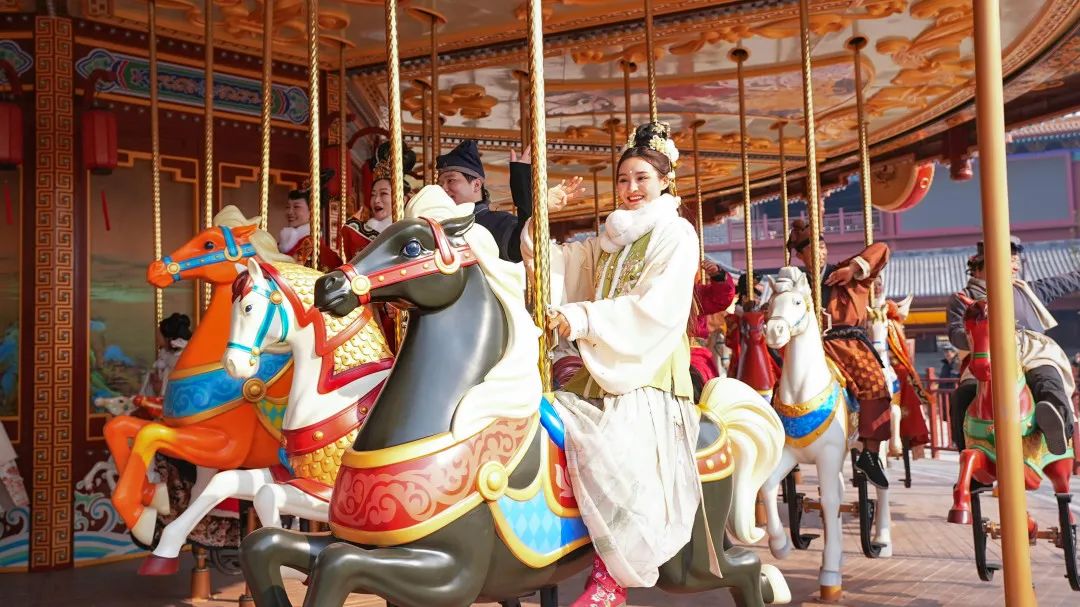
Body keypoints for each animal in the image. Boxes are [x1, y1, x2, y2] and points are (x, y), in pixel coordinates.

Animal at [103, 207, 296, 556]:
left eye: (208, 243)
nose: (156, 269)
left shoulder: (225, 448)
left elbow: (149, 434)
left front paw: (142, 517)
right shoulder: (180, 426)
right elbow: (121, 427)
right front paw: (154, 499)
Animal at [238, 196, 791, 607]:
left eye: (411, 244)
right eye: (375, 236)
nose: (330, 284)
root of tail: (712, 422)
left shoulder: (451, 573)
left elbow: (336, 567)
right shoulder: (361, 539)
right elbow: (267, 545)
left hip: (684, 558)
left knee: (745, 568)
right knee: (744, 566)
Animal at [758, 267, 892, 603]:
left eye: (796, 302)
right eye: (770, 304)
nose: (775, 332)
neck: (801, 389)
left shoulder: (829, 454)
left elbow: (830, 501)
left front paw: (830, 573)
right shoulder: (790, 452)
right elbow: (767, 486)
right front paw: (780, 545)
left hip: (875, 437)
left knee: (881, 484)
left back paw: (882, 539)